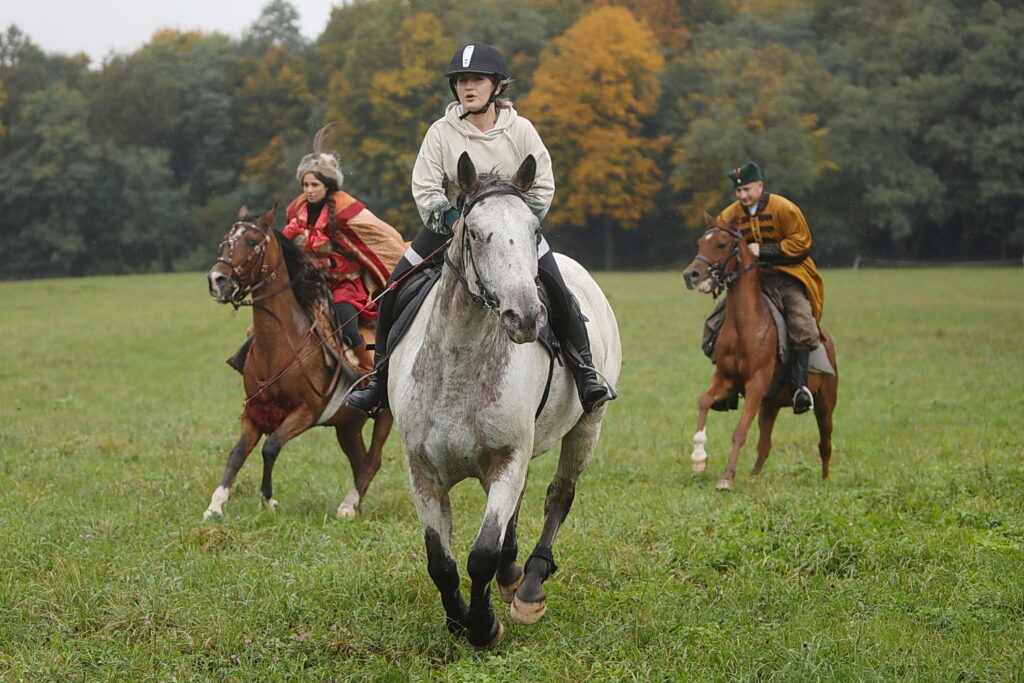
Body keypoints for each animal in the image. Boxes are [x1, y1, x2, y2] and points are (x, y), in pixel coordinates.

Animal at [202, 206, 391, 518]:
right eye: (226, 241)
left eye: (252, 241)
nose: (217, 280)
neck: (279, 343)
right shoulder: (255, 410)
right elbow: (238, 453)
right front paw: (216, 504)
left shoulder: (307, 412)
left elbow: (271, 446)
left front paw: (267, 499)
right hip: (348, 424)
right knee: (361, 460)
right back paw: (356, 504)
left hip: (385, 414)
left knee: (373, 459)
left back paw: (348, 504)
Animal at [385, 152, 618, 651]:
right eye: (474, 232)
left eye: (534, 229)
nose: (526, 316)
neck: (457, 371)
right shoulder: (423, 472)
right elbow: (442, 562)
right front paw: (458, 621)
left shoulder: (507, 460)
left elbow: (482, 554)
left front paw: (482, 626)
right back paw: (513, 577)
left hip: (586, 427)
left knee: (559, 496)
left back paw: (529, 587)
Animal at [684, 216, 835, 489]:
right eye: (701, 242)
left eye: (721, 244)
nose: (691, 275)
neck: (746, 324)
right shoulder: (727, 379)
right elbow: (704, 401)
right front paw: (698, 458)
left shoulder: (756, 385)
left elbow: (740, 432)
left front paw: (727, 478)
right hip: (770, 406)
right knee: (765, 444)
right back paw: (753, 477)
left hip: (825, 403)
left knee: (825, 441)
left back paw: (825, 480)